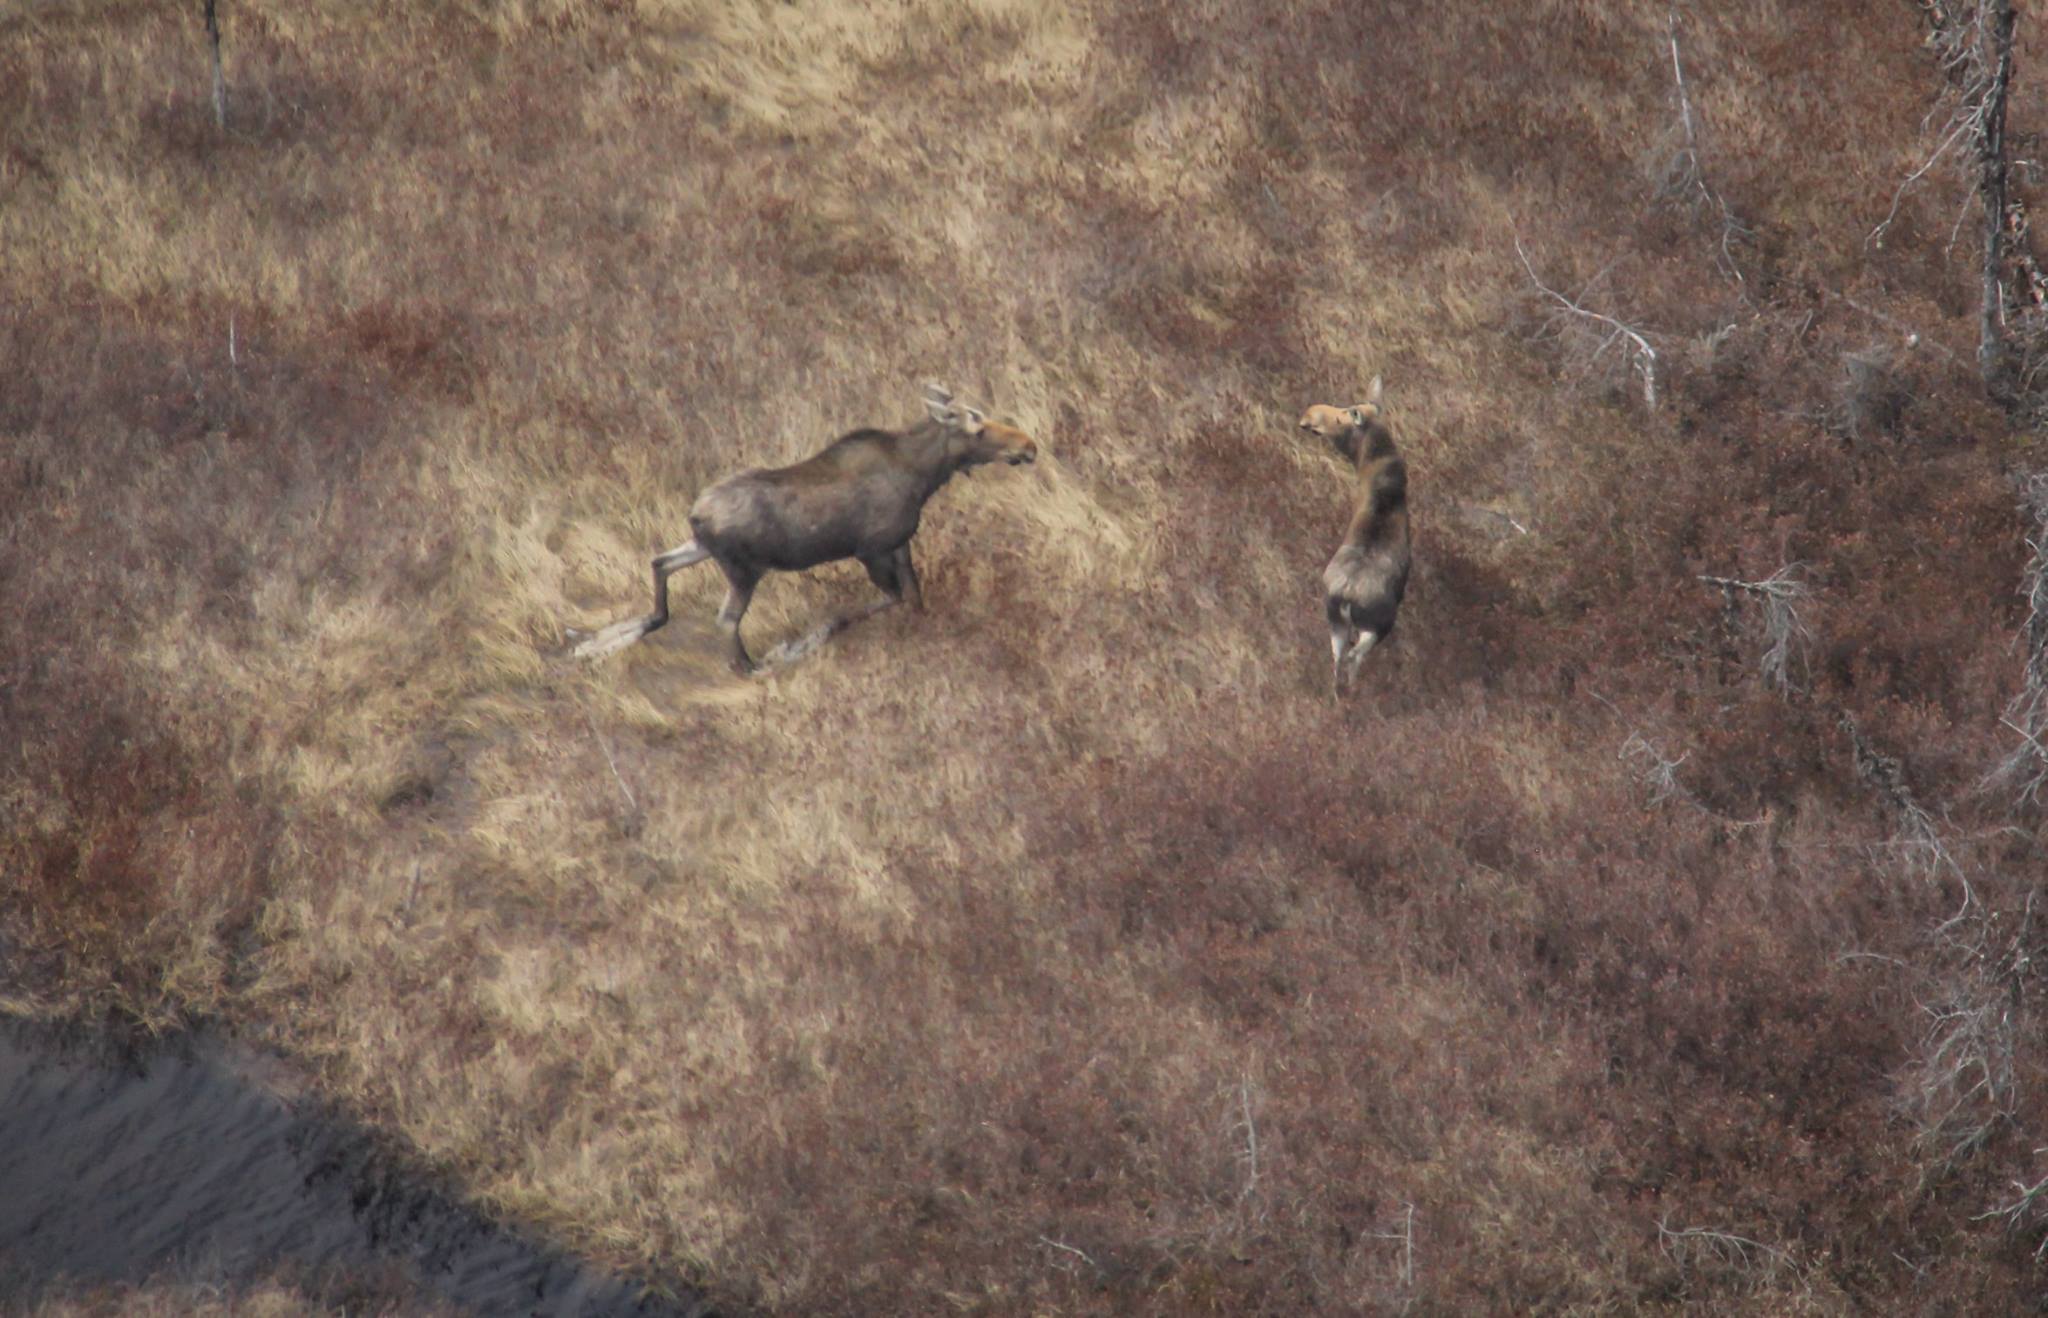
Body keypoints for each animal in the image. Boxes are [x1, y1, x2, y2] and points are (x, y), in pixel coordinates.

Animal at [569, 380, 1032, 671]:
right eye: (978, 426)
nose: (1029, 446)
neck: (924, 477)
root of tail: (697, 514)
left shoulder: (900, 545)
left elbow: (914, 598)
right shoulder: (871, 551)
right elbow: (865, 607)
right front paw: (801, 644)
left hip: (701, 547)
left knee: (659, 567)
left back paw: (605, 640)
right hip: (744, 570)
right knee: (726, 621)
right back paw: (754, 665)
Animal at [1294, 376, 1409, 695]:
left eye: (1342, 415)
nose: (1308, 415)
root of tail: (1347, 595)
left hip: (1334, 616)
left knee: (1337, 653)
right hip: (1377, 624)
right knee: (1355, 654)